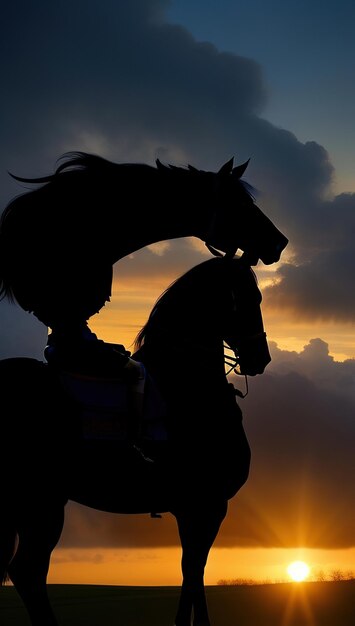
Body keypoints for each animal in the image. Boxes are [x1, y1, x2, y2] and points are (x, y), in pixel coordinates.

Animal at [0, 255, 272, 624]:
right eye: (251, 299)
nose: (261, 357)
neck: (188, 383)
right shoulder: (209, 504)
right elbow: (195, 569)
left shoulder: (191, 508)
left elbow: (190, 570)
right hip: (42, 503)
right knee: (28, 571)